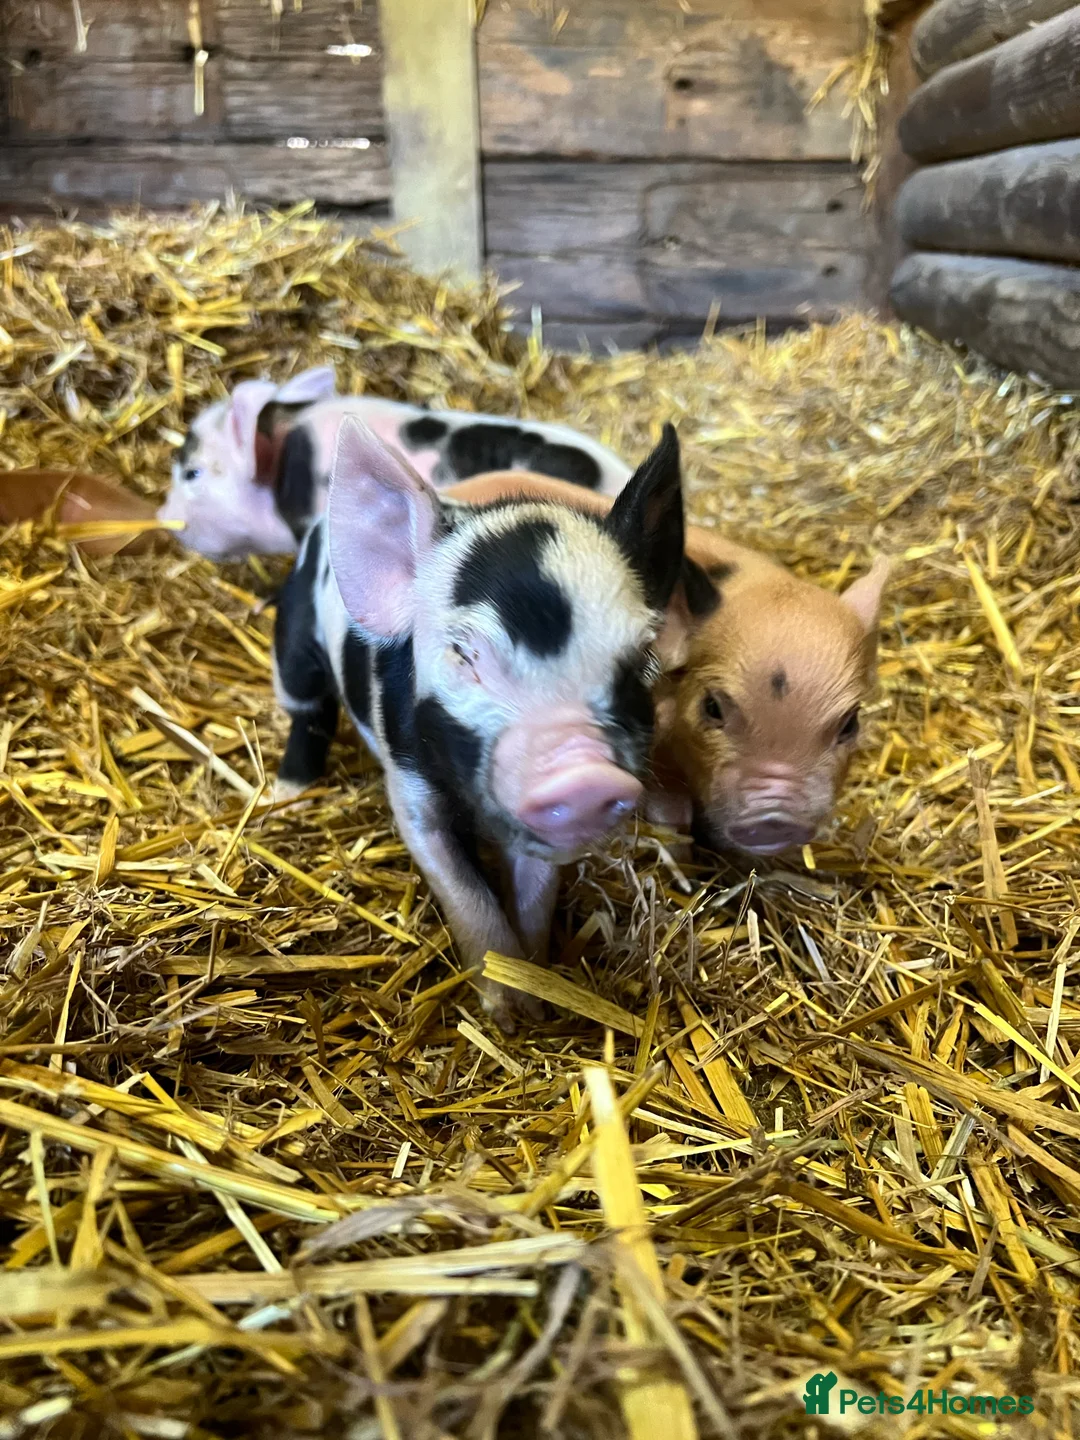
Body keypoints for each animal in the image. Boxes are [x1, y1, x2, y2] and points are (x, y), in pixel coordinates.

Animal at [271, 420, 685, 1028]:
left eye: (640, 660)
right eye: (464, 654)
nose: (584, 774)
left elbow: (535, 888)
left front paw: (536, 996)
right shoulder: (409, 787)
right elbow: (463, 888)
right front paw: (502, 1012)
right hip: (294, 637)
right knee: (307, 709)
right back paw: (286, 797)